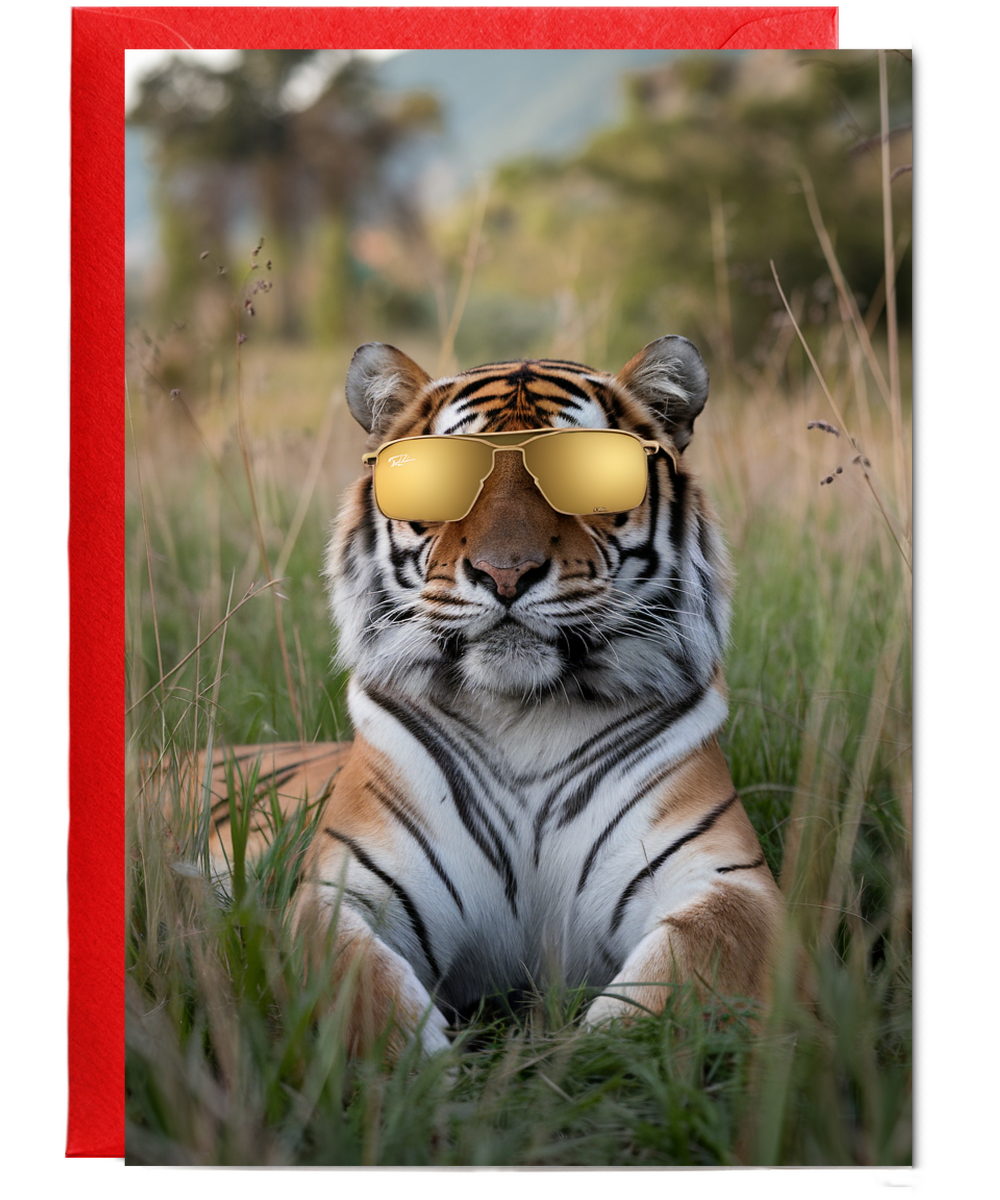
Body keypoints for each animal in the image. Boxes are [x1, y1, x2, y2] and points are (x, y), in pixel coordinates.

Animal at [270, 335, 785, 1056]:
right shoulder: (338, 891)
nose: (504, 572)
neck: (522, 716)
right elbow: (364, 998)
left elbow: (657, 1003)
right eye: (447, 476)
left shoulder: (730, 883)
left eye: (583, 473)